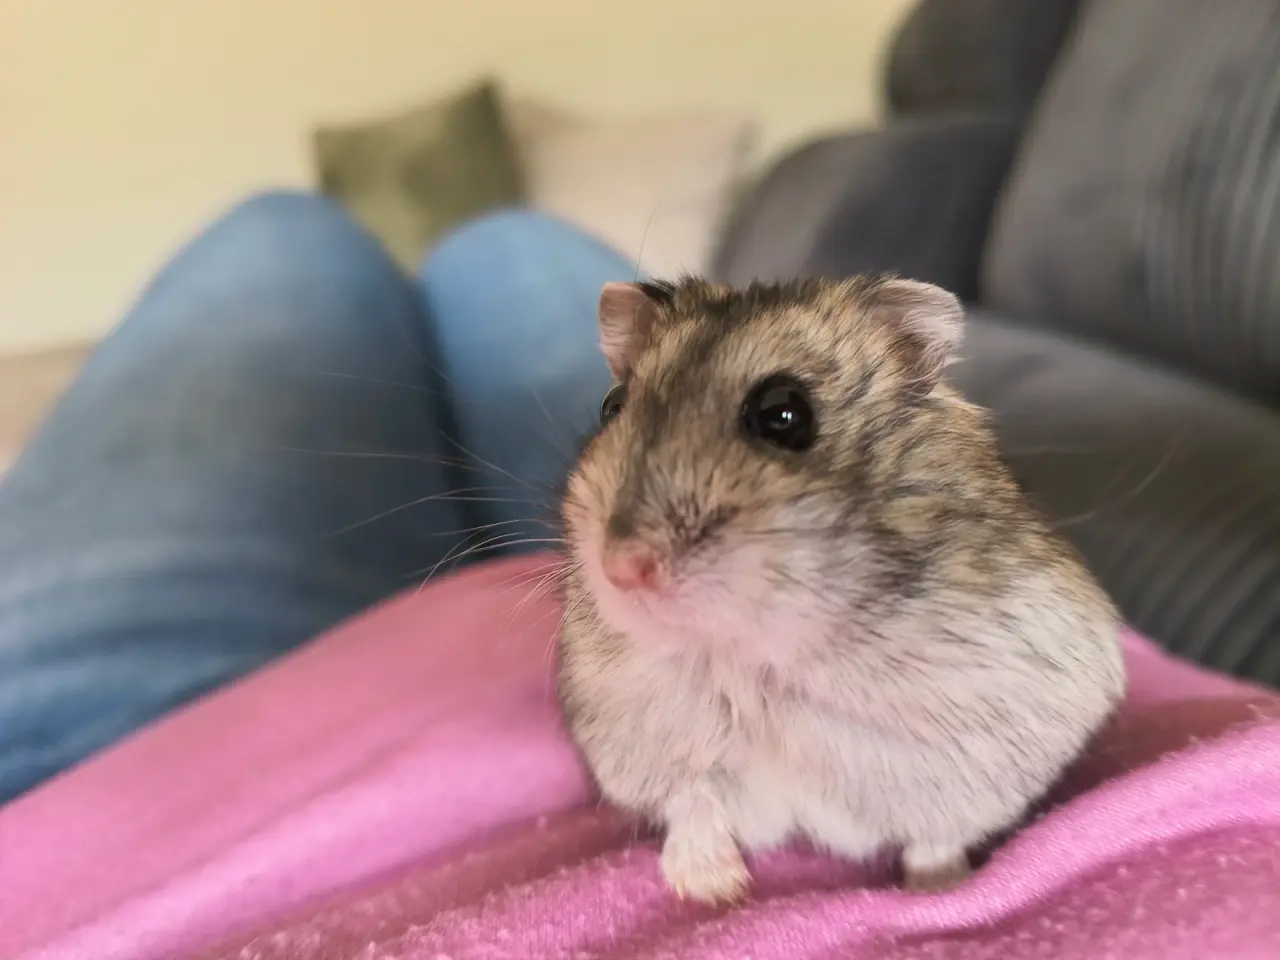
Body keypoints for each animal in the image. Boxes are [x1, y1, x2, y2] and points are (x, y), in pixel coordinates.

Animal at [555, 275, 1126, 903]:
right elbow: (693, 803)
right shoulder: (645, 745)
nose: (623, 567)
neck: (752, 658)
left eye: (783, 414)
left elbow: (936, 836)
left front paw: (938, 890)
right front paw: (713, 891)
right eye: (611, 407)